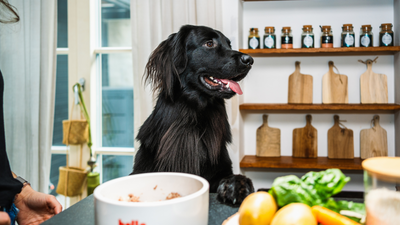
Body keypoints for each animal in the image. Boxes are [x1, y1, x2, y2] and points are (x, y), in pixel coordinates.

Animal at [132, 25, 256, 206]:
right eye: (209, 43)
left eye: (229, 44)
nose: (250, 60)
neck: (194, 117)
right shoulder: (142, 169)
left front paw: (237, 185)